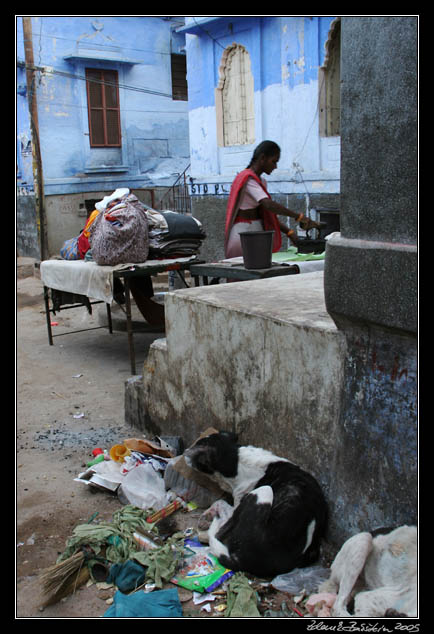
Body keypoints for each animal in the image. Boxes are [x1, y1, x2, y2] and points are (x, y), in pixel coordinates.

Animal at [184, 430, 328, 576]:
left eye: (198, 445)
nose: (185, 452)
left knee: (220, 531)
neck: (236, 460)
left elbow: (220, 502)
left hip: (264, 491)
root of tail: (244, 560)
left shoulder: (238, 502)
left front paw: (208, 516)